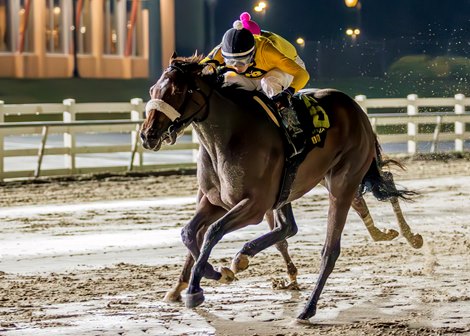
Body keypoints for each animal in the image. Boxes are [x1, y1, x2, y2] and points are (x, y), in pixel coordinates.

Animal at [140, 55, 422, 322]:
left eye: (177, 91)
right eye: (153, 89)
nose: (147, 135)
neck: (230, 136)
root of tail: (357, 110)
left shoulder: (255, 205)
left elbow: (213, 231)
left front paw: (195, 289)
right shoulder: (216, 201)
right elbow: (189, 232)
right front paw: (214, 273)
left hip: (343, 180)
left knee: (331, 247)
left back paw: (307, 309)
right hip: (321, 178)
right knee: (365, 192)